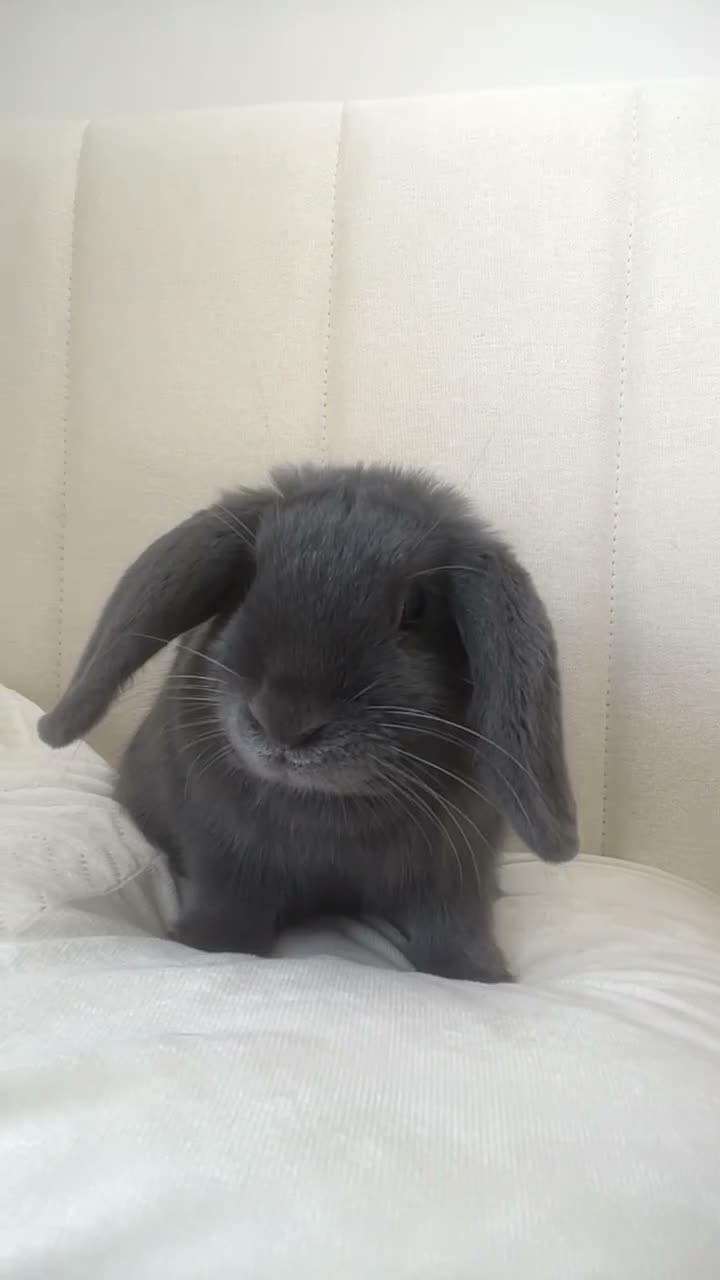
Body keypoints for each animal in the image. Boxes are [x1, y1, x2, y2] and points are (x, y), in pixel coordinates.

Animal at [38, 463, 578, 982]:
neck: (325, 808)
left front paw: (478, 975)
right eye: (247, 583)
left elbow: (453, 922)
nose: (284, 719)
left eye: (415, 607)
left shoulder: (455, 864)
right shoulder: (225, 853)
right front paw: (204, 944)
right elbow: (230, 907)